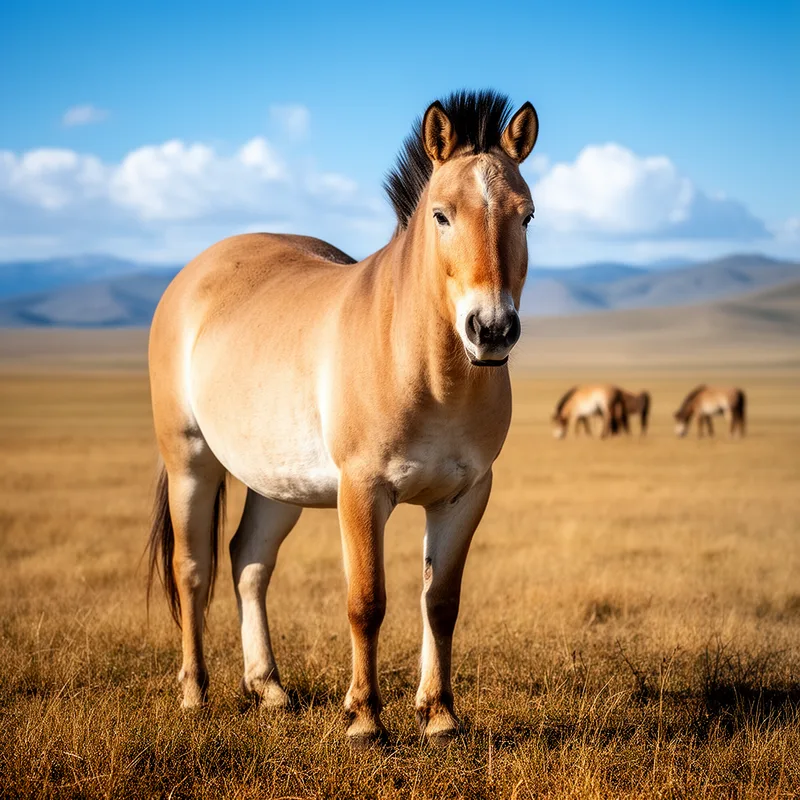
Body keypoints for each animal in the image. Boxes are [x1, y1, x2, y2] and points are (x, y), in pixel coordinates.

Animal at [147, 90, 539, 746]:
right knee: (192, 569)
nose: (491, 330)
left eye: (527, 215)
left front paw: (439, 715)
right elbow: (366, 602)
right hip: (191, 462)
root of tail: (195, 272)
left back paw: (269, 688)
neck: (432, 375)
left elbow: (441, 603)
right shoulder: (361, 489)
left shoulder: (465, 495)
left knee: (248, 560)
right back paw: (195, 694)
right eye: (442, 215)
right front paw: (364, 719)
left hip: (276, 481)